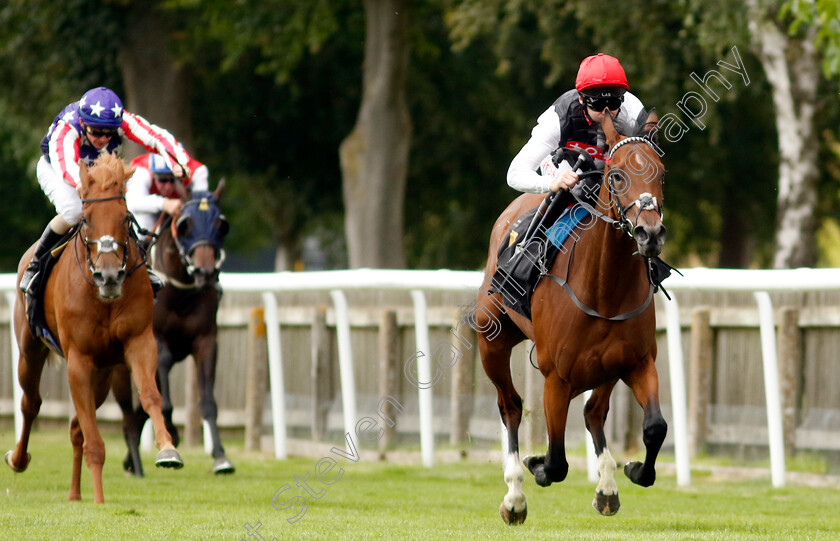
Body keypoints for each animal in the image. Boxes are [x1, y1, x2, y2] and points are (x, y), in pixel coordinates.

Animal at [5, 152, 184, 502]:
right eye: (86, 219)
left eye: (125, 219)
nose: (110, 275)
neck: (104, 298)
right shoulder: (79, 359)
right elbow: (95, 441)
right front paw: (100, 502)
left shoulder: (139, 341)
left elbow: (150, 396)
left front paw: (168, 449)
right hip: (30, 349)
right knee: (31, 403)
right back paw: (18, 459)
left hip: (103, 374)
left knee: (76, 427)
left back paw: (75, 494)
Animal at [110, 180, 233, 472]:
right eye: (186, 224)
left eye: (221, 225)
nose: (205, 273)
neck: (182, 292)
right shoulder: (157, 340)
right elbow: (162, 397)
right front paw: (172, 436)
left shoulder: (206, 341)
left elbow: (208, 401)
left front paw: (220, 456)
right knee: (126, 414)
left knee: (136, 413)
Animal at [476, 110, 668, 524]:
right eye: (617, 175)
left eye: (661, 174)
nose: (650, 234)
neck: (604, 289)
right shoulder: (556, 377)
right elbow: (557, 460)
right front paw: (536, 466)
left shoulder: (638, 362)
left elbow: (655, 428)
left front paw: (635, 470)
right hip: (491, 341)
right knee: (510, 406)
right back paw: (515, 495)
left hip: (607, 367)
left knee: (595, 412)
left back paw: (607, 486)